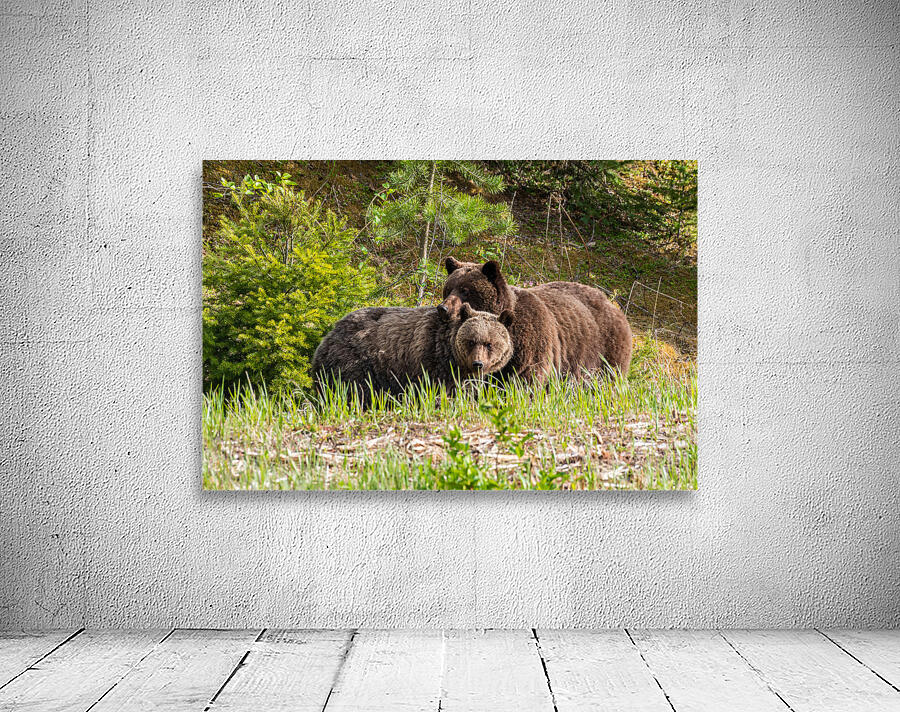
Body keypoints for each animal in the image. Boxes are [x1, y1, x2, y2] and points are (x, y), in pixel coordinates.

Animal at [312, 302, 515, 407]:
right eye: (471, 341)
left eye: (489, 343)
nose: (478, 363)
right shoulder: (427, 360)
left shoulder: (459, 375)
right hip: (355, 363)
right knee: (355, 392)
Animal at [441, 257, 632, 380]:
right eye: (448, 289)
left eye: (465, 290)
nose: (443, 308)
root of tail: (612, 304)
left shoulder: (532, 344)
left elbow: (527, 377)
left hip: (603, 351)